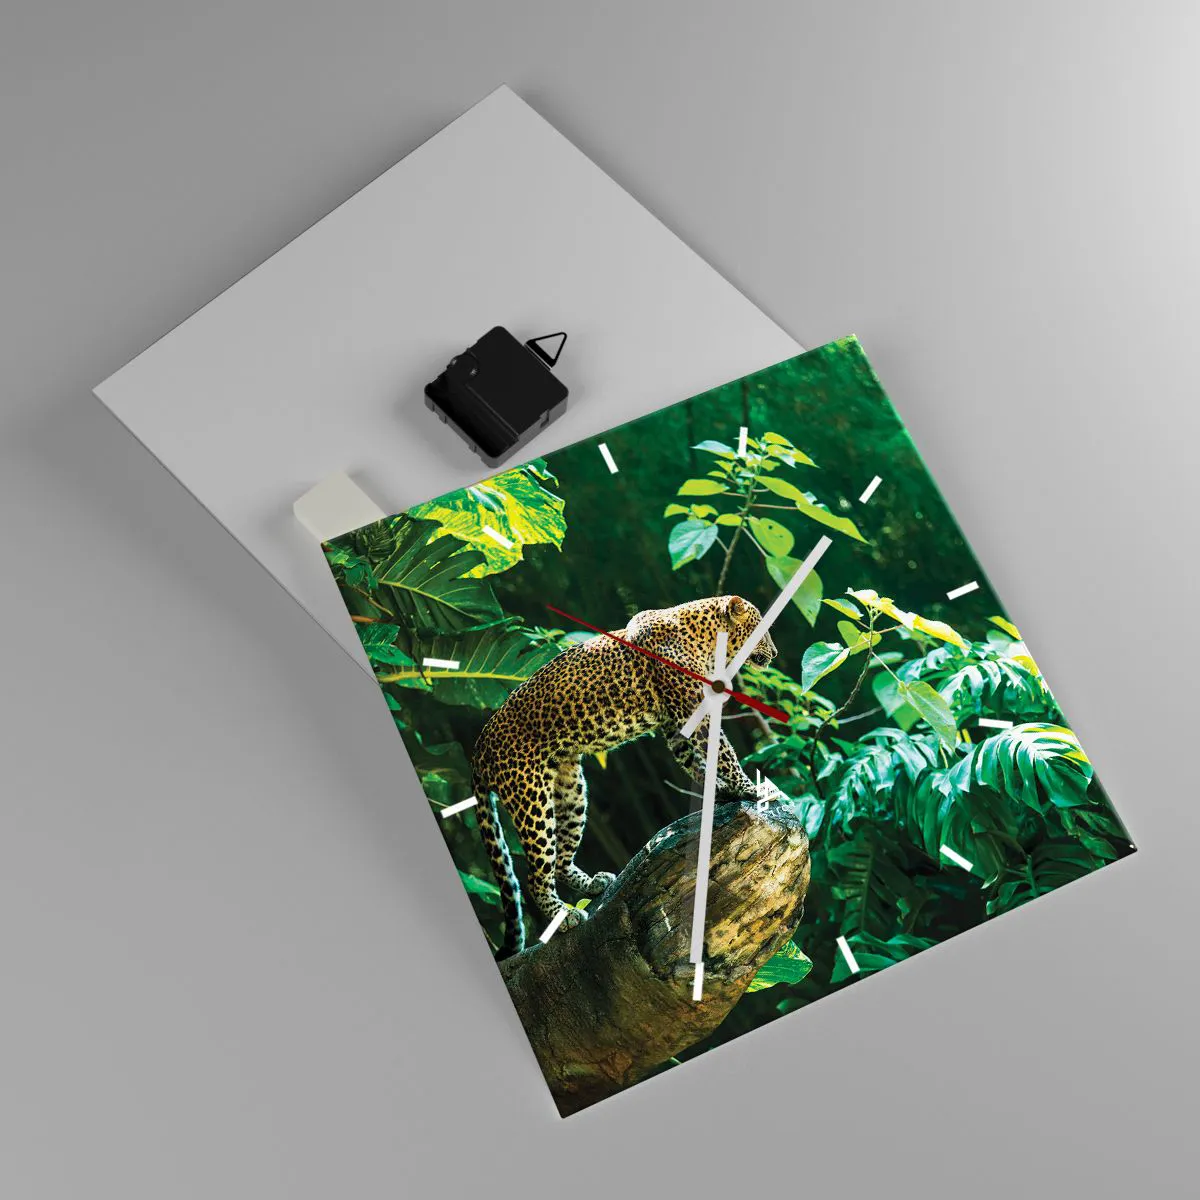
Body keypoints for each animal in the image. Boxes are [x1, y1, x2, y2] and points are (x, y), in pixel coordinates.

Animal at [472, 594, 779, 958]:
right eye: (761, 629)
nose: (776, 653)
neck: (709, 641)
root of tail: (478, 748)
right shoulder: (692, 711)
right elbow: (723, 751)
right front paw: (751, 788)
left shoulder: (676, 722)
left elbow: (696, 760)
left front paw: (721, 790)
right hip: (530, 797)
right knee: (536, 874)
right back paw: (563, 916)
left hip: (571, 788)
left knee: (559, 860)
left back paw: (594, 884)